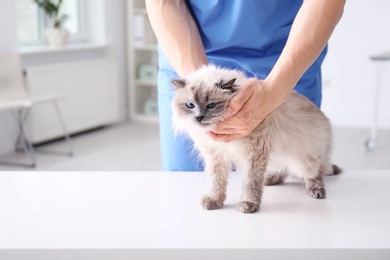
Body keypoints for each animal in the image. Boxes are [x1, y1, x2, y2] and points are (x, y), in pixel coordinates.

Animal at [171, 64, 342, 213]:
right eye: (190, 105)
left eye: (211, 105)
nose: (199, 118)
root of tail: (324, 119)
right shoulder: (216, 155)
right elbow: (217, 181)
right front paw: (214, 201)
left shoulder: (254, 152)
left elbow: (251, 182)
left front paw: (248, 204)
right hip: (276, 157)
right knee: (284, 169)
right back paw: (270, 179)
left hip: (304, 159)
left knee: (314, 174)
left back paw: (316, 191)